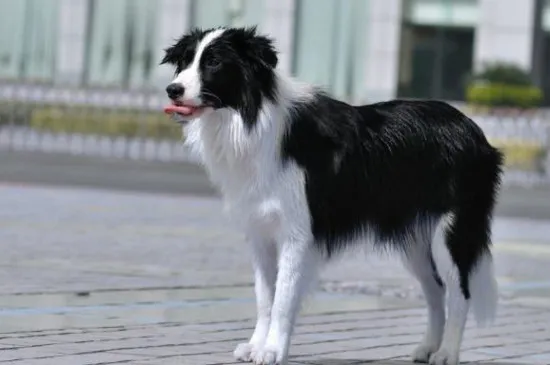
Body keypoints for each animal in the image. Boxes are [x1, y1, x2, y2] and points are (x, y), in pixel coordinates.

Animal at [161, 26, 504, 364]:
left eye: (214, 63)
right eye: (185, 61)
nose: (172, 90)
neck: (251, 117)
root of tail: (474, 130)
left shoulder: (297, 234)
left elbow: (283, 297)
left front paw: (272, 350)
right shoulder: (260, 231)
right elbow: (264, 296)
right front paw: (256, 346)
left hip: (451, 233)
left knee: (459, 293)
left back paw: (446, 353)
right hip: (417, 241)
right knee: (435, 291)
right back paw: (428, 347)